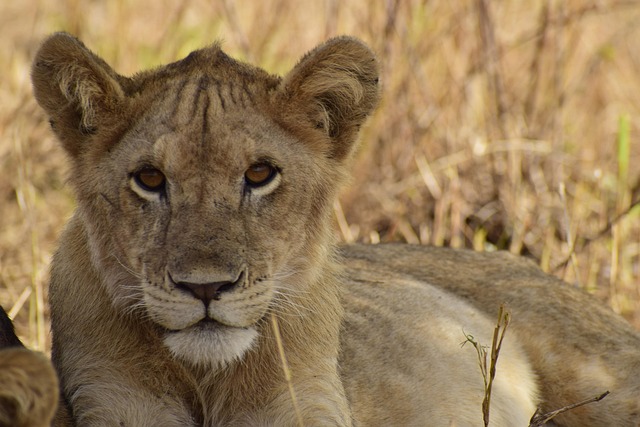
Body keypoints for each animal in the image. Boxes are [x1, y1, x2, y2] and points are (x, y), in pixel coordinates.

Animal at [20, 32, 640, 426]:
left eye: (260, 174)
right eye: (149, 179)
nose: (206, 287)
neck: (208, 378)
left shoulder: (310, 401)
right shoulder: (110, 398)